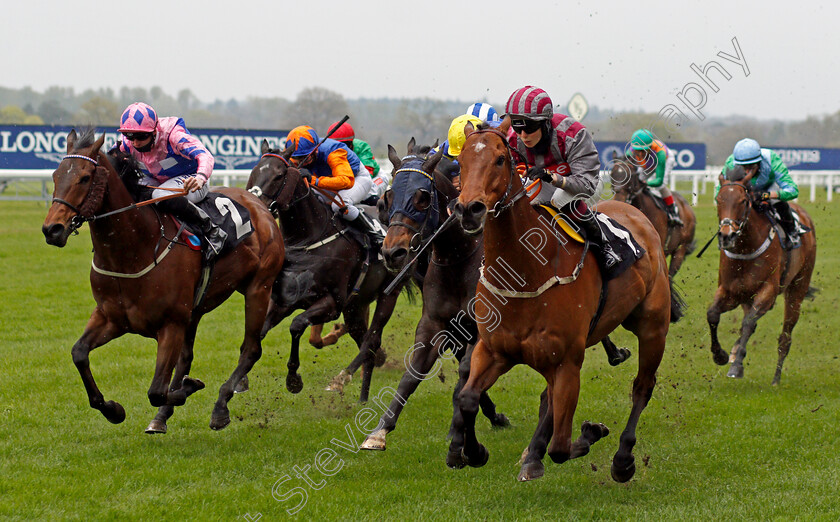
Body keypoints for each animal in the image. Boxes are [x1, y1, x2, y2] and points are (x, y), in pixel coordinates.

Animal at [41, 129, 286, 430]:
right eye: (55, 175)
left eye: (85, 177)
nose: (52, 229)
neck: (134, 249)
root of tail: (259, 205)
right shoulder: (111, 317)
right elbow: (79, 353)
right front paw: (113, 410)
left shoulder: (171, 324)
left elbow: (157, 390)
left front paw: (189, 387)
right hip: (197, 308)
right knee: (187, 357)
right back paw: (162, 416)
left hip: (258, 288)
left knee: (250, 349)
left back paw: (220, 406)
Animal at [246, 142, 406, 402]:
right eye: (254, 170)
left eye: (279, 175)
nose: (253, 205)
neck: (308, 240)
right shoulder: (284, 300)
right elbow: (260, 331)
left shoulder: (332, 303)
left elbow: (296, 325)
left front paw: (293, 380)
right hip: (355, 306)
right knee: (364, 341)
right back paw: (362, 396)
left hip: (388, 294)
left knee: (371, 340)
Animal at [358, 140, 508, 448]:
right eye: (388, 196)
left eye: (422, 198)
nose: (392, 252)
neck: (460, 258)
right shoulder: (435, 324)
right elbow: (411, 375)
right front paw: (379, 431)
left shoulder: (480, 327)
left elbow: (466, 371)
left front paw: (462, 430)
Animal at [450, 118, 680, 480]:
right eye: (460, 162)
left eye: (500, 159)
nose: (469, 209)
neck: (527, 271)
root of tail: (636, 214)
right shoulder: (494, 350)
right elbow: (469, 398)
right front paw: (474, 452)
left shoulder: (568, 362)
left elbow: (560, 447)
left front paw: (590, 433)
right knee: (548, 399)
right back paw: (532, 454)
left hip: (653, 327)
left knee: (642, 386)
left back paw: (622, 459)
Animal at [704, 167, 816, 382]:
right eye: (719, 199)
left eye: (742, 201)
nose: (726, 236)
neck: (746, 247)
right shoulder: (732, 291)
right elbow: (713, 314)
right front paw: (720, 355)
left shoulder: (768, 291)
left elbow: (748, 323)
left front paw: (736, 364)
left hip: (798, 286)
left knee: (785, 337)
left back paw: (776, 379)